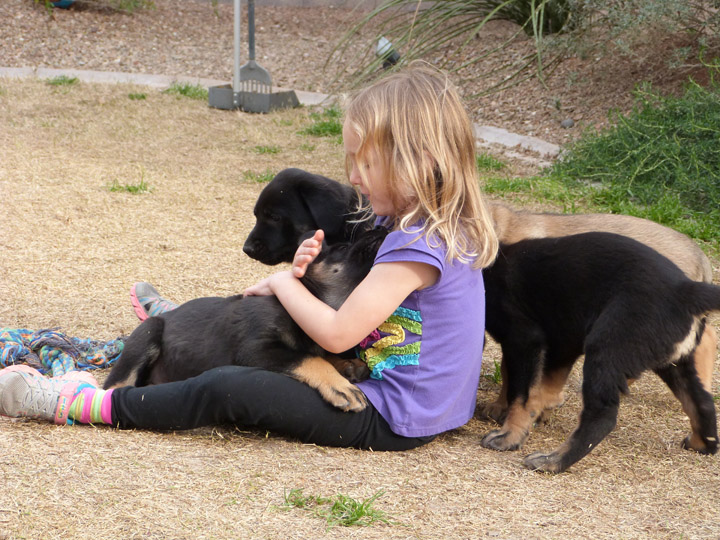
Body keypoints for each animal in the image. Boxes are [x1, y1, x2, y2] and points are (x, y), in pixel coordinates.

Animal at [102, 226, 388, 412]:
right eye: (343, 247)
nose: (382, 228)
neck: (312, 299)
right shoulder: (256, 350)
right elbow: (309, 358)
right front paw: (341, 386)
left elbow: (319, 354)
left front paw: (348, 365)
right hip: (149, 330)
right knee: (115, 385)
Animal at [478, 232, 720, 472]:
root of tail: (685, 290)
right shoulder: (562, 342)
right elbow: (543, 384)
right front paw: (539, 411)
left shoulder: (525, 338)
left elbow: (522, 394)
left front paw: (509, 436)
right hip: (674, 361)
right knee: (702, 403)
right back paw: (701, 443)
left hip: (607, 349)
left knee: (602, 416)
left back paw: (552, 461)